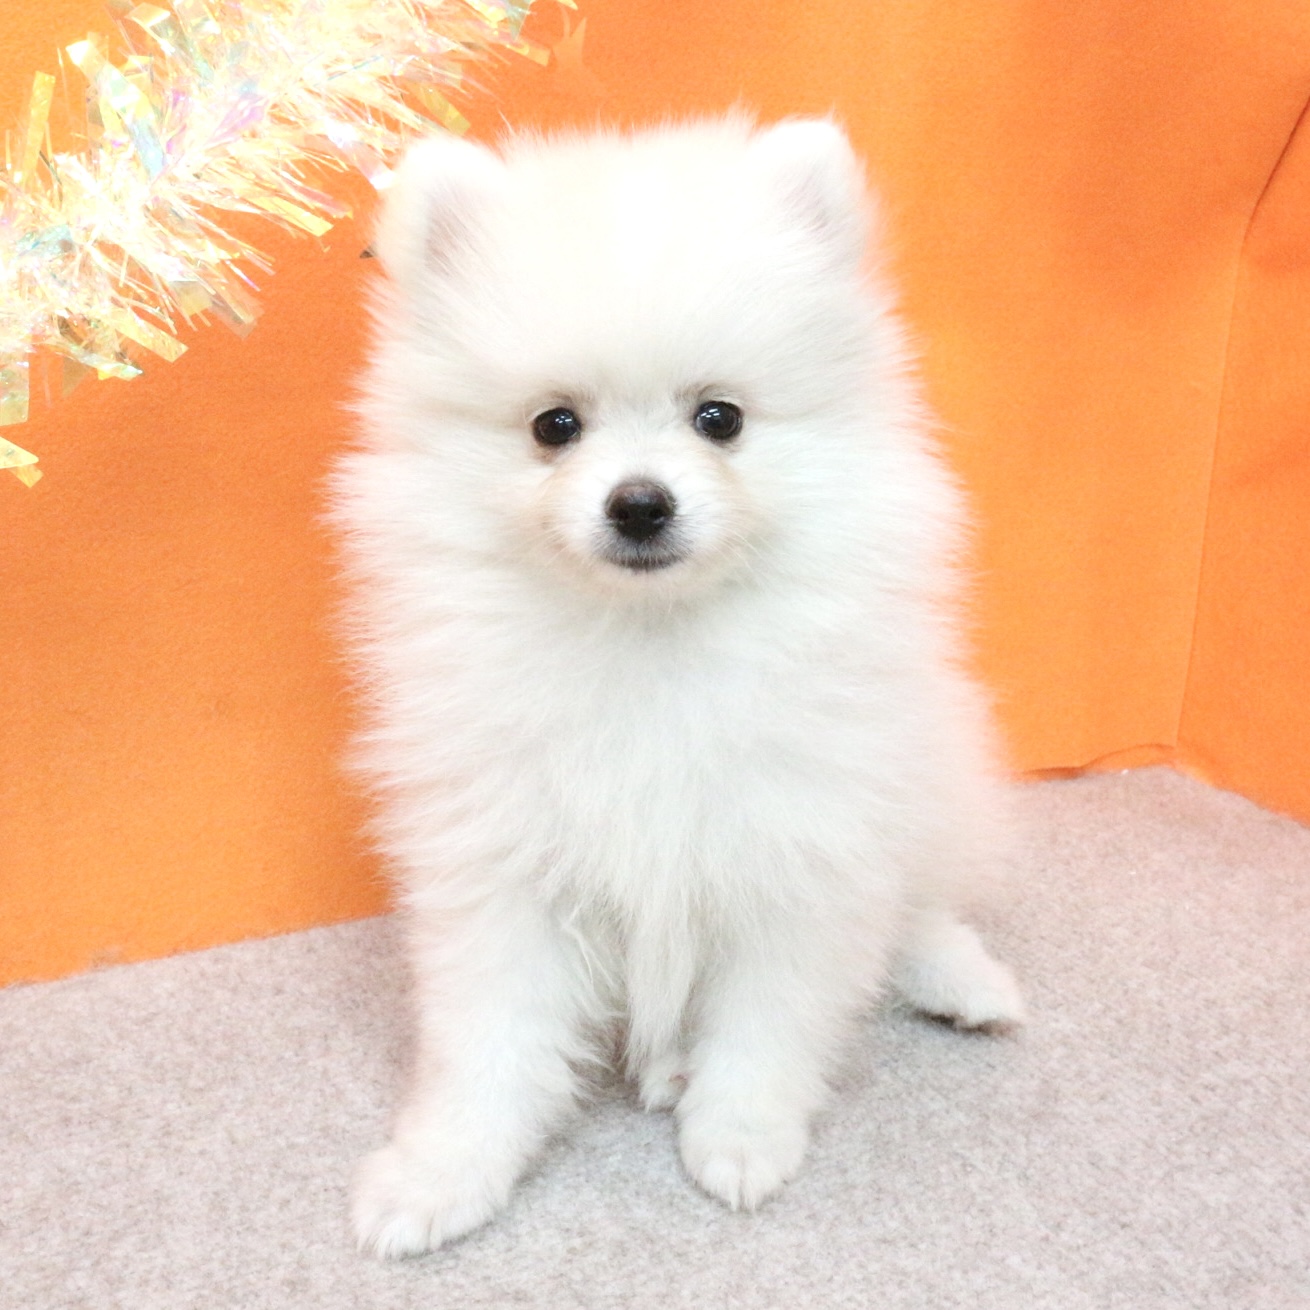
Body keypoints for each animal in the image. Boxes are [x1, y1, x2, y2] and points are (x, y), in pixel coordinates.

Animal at [331, 116, 1025, 1258]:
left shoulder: (798, 844)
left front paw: (740, 1137)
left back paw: (960, 981)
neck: (648, 640)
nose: (640, 503)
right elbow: (487, 1042)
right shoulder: (502, 862)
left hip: (920, 765)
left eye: (719, 418)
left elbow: (770, 1019)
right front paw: (441, 1172)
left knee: (915, 902)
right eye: (554, 426)